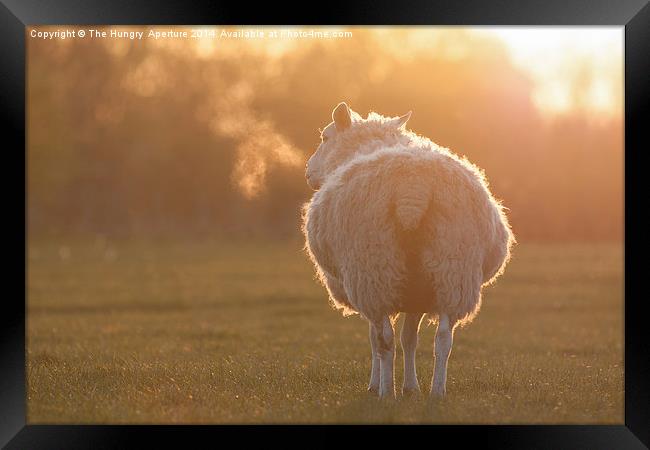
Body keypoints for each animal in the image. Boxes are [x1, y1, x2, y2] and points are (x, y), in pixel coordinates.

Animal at [302, 101, 512, 398]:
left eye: (324, 137)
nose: (308, 171)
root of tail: (412, 189)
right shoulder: (417, 292)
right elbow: (410, 338)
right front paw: (411, 387)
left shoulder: (375, 287)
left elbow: (377, 339)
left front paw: (376, 384)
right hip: (451, 268)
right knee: (443, 339)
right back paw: (437, 391)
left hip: (374, 267)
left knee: (384, 340)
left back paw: (385, 392)